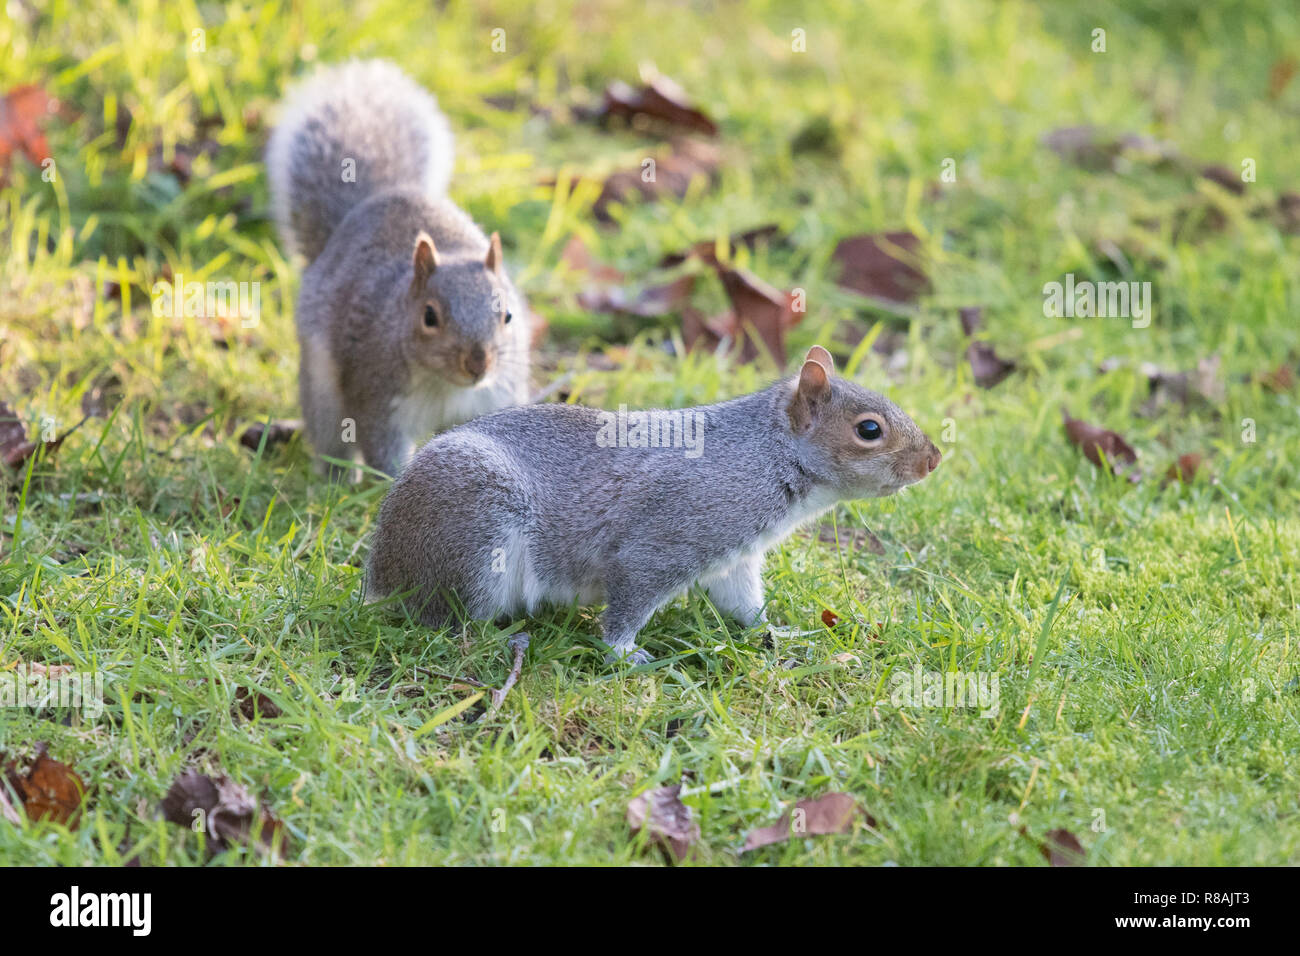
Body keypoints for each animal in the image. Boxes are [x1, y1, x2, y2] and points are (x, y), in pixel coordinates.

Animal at [266, 59, 531, 477]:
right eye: (429, 317)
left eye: (507, 315)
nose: (478, 364)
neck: (446, 386)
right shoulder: (378, 396)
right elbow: (383, 450)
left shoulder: (497, 397)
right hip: (322, 390)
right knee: (329, 436)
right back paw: (338, 478)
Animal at [365, 346, 942, 664]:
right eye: (869, 430)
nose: (933, 460)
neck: (767, 453)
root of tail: (382, 569)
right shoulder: (666, 540)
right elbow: (629, 601)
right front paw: (625, 654)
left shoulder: (733, 559)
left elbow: (744, 604)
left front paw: (777, 631)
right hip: (476, 536)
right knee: (447, 620)